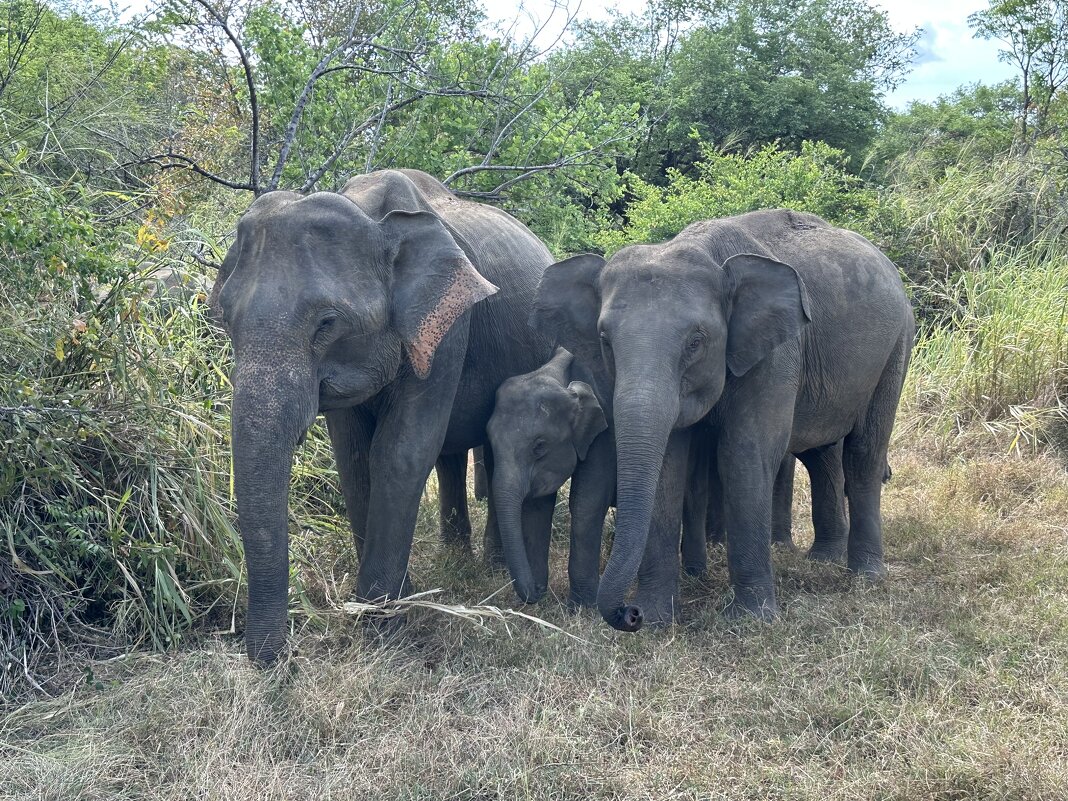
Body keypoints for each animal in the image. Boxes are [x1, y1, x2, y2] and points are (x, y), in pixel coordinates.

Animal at [213, 169, 555, 666]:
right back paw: (455, 557)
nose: (274, 663)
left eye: (327, 324)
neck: (372, 215)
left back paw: (491, 568)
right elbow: (354, 460)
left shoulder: (448, 326)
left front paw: (384, 632)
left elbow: (400, 454)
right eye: (227, 319)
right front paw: (397, 602)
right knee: (451, 457)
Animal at [529, 211, 914, 632]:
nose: (629, 614)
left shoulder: (777, 353)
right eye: (605, 342)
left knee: (863, 452)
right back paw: (823, 560)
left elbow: (744, 453)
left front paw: (751, 622)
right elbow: (668, 464)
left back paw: (865, 575)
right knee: (823, 454)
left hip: (897, 346)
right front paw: (658, 619)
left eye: (696, 342)